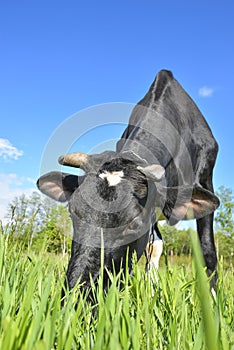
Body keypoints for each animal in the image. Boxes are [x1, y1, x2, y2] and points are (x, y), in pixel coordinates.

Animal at [37, 69, 219, 296]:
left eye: (133, 225)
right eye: (73, 213)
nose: (76, 295)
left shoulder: (205, 179)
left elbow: (207, 251)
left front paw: (213, 301)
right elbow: (152, 248)